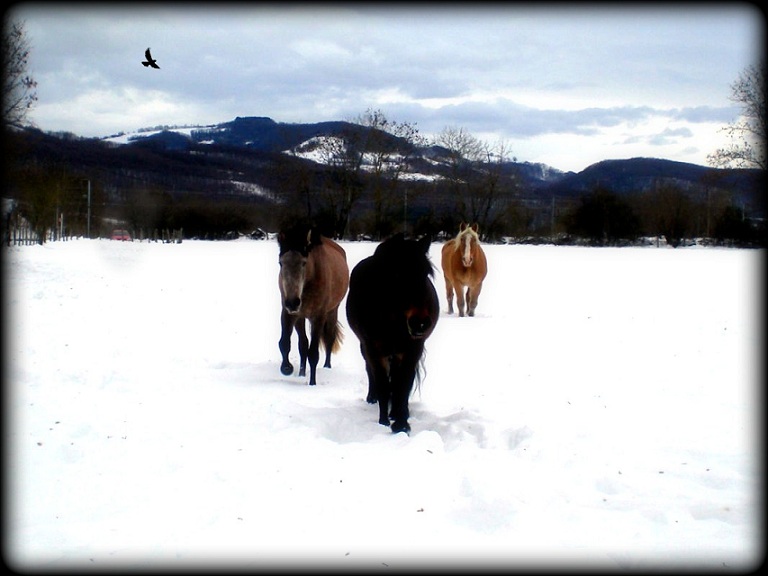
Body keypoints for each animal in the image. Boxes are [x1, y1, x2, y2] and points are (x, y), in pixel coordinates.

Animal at [278, 225, 350, 388]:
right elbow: (285, 343)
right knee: (303, 344)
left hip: (332, 311)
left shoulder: (318, 316)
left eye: (304, 263)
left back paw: (327, 367)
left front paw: (312, 383)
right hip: (301, 317)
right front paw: (287, 368)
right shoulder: (289, 313)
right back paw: (301, 373)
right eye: (281, 263)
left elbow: (313, 353)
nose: (293, 302)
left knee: (329, 338)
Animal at [346, 233, 438, 432]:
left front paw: (401, 422)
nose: (420, 323)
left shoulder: (412, 350)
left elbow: (402, 384)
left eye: (425, 274)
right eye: (397, 275)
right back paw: (373, 398)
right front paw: (384, 422)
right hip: (368, 348)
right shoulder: (373, 349)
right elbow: (382, 383)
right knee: (372, 373)